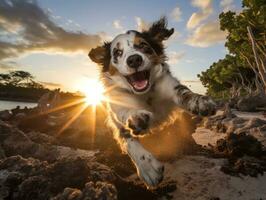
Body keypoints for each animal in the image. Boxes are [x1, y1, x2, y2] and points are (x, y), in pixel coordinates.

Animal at [89, 17, 216, 188]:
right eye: (117, 52)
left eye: (143, 45)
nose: (134, 59)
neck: (144, 94)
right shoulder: (116, 110)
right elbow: (128, 137)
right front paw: (147, 167)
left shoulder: (169, 86)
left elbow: (184, 93)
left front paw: (198, 101)